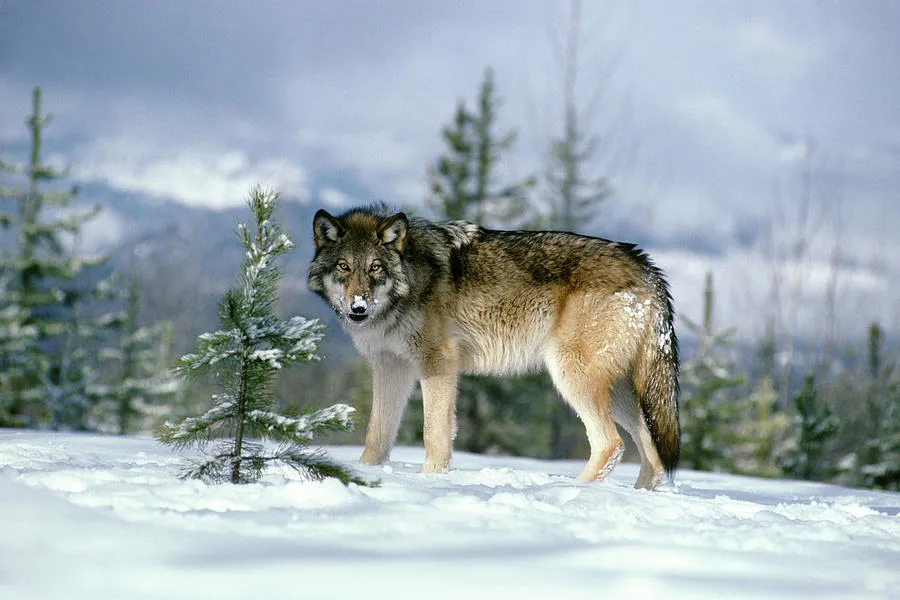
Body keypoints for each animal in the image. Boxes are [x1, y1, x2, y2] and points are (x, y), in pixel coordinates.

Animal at [308, 205, 679, 489]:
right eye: (344, 267)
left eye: (375, 268)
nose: (358, 308)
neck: (410, 281)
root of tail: (649, 270)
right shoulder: (390, 367)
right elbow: (377, 434)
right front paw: (365, 474)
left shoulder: (438, 363)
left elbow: (434, 433)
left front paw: (432, 481)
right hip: (622, 393)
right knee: (653, 453)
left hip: (573, 377)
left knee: (611, 444)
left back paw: (574, 490)